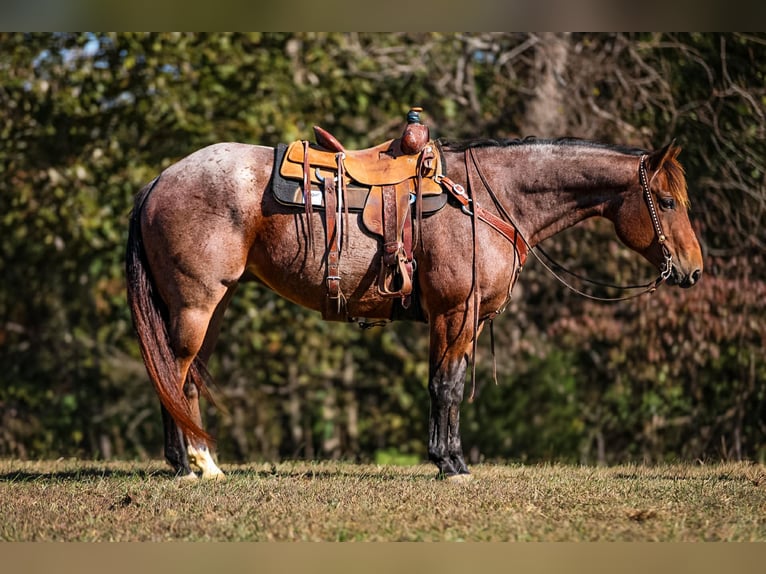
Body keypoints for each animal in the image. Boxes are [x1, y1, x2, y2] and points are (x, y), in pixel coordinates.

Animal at [126, 134, 703, 481]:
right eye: (666, 202)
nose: (694, 271)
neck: (488, 200)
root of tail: (158, 180)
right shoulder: (455, 311)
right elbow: (446, 387)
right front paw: (452, 464)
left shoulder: (461, 319)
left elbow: (446, 384)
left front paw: (446, 456)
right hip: (196, 305)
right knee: (173, 373)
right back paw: (186, 466)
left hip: (212, 307)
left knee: (188, 379)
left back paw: (205, 464)